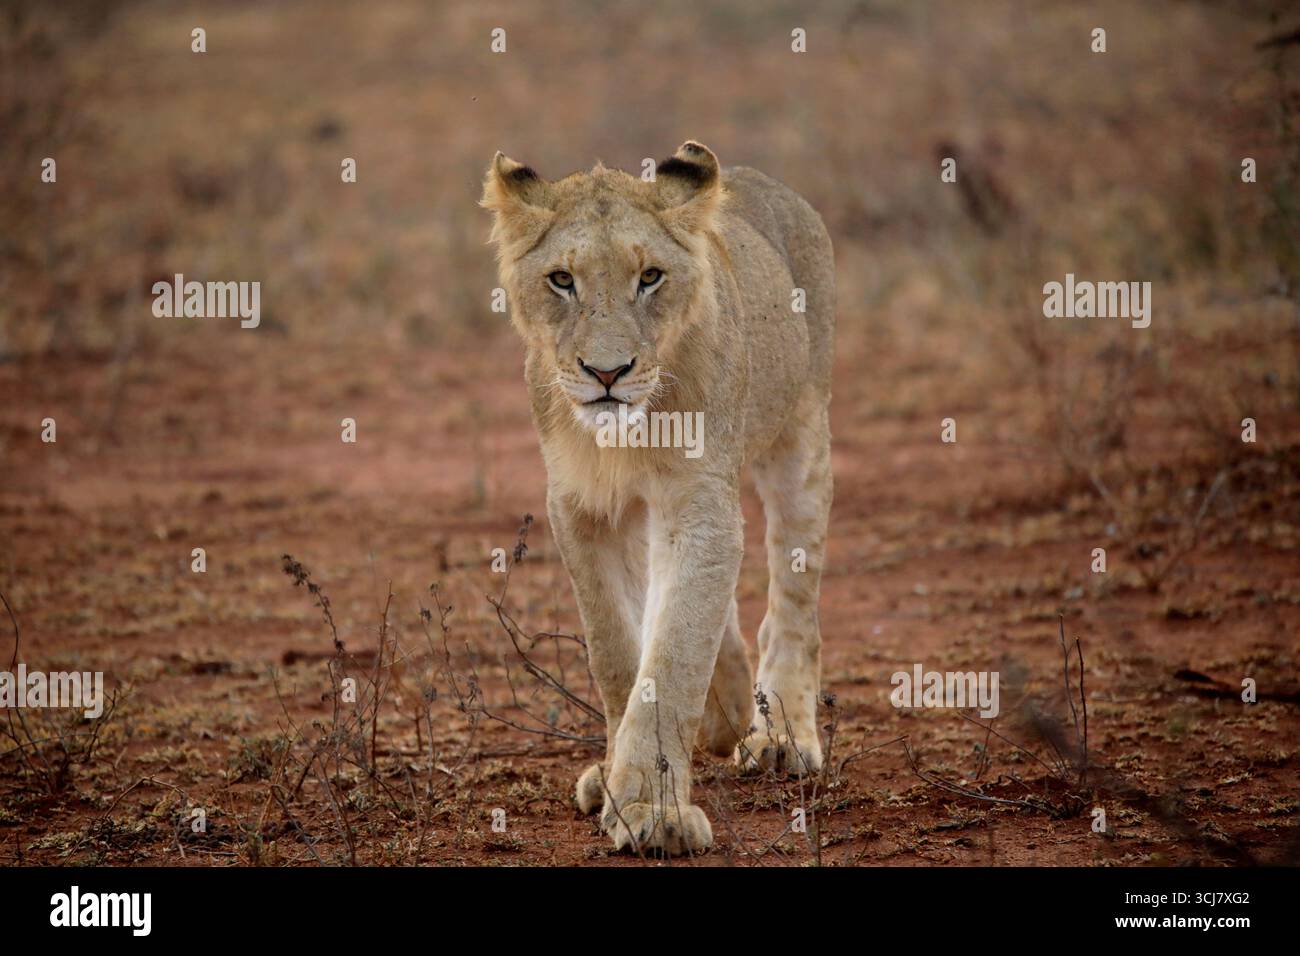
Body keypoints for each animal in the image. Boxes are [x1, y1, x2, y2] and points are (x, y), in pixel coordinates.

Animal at [481, 141, 834, 856]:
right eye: (562, 280)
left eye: (650, 277)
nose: (606, 373)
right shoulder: (581, 507)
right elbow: (618, 649)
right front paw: (617, 779)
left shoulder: (699, 502)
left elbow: (671, 657)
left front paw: (655, 811)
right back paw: (727, 708)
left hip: (802, 431)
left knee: (793, 594)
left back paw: (781, 736)